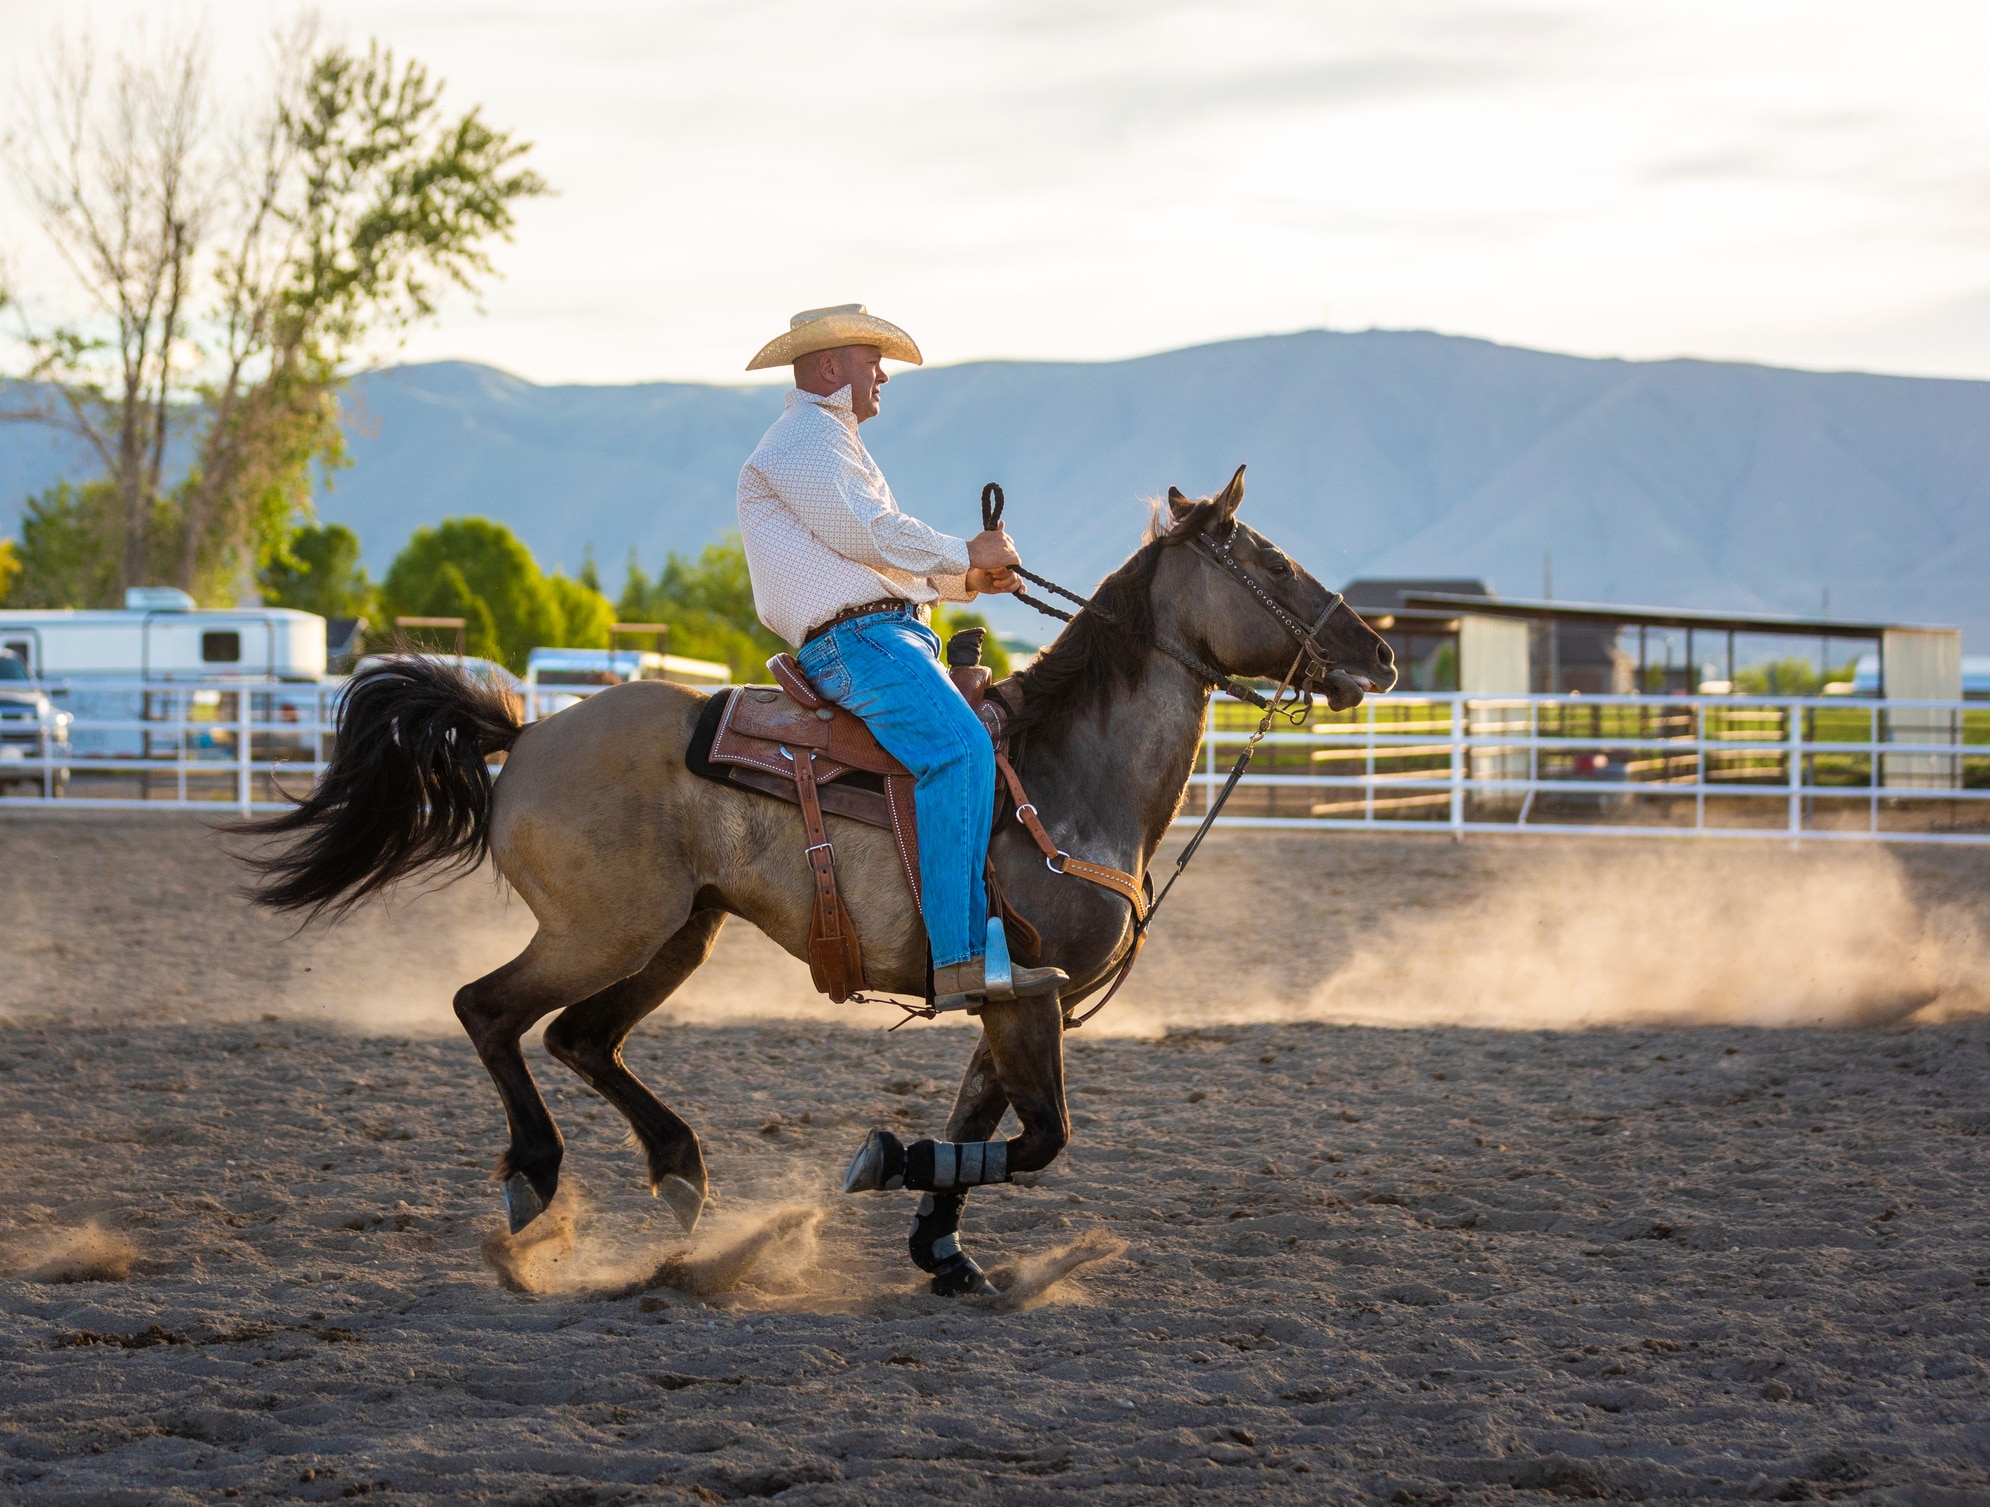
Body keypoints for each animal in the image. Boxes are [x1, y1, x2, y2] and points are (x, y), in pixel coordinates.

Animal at [240, 469, 1400, 1290]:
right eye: (1272, 562)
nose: (1380, 655)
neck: (1067, 772)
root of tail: (524, 734)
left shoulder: (1007, 996)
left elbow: (981, 1125)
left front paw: (942, 1247)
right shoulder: (1028, 998)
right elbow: (1038, 1139)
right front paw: (885, 1164)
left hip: (680, 932)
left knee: (579, 1037)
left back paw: (679, 1170)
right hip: (602, 930)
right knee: (489, 1009)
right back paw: (536, 1174)